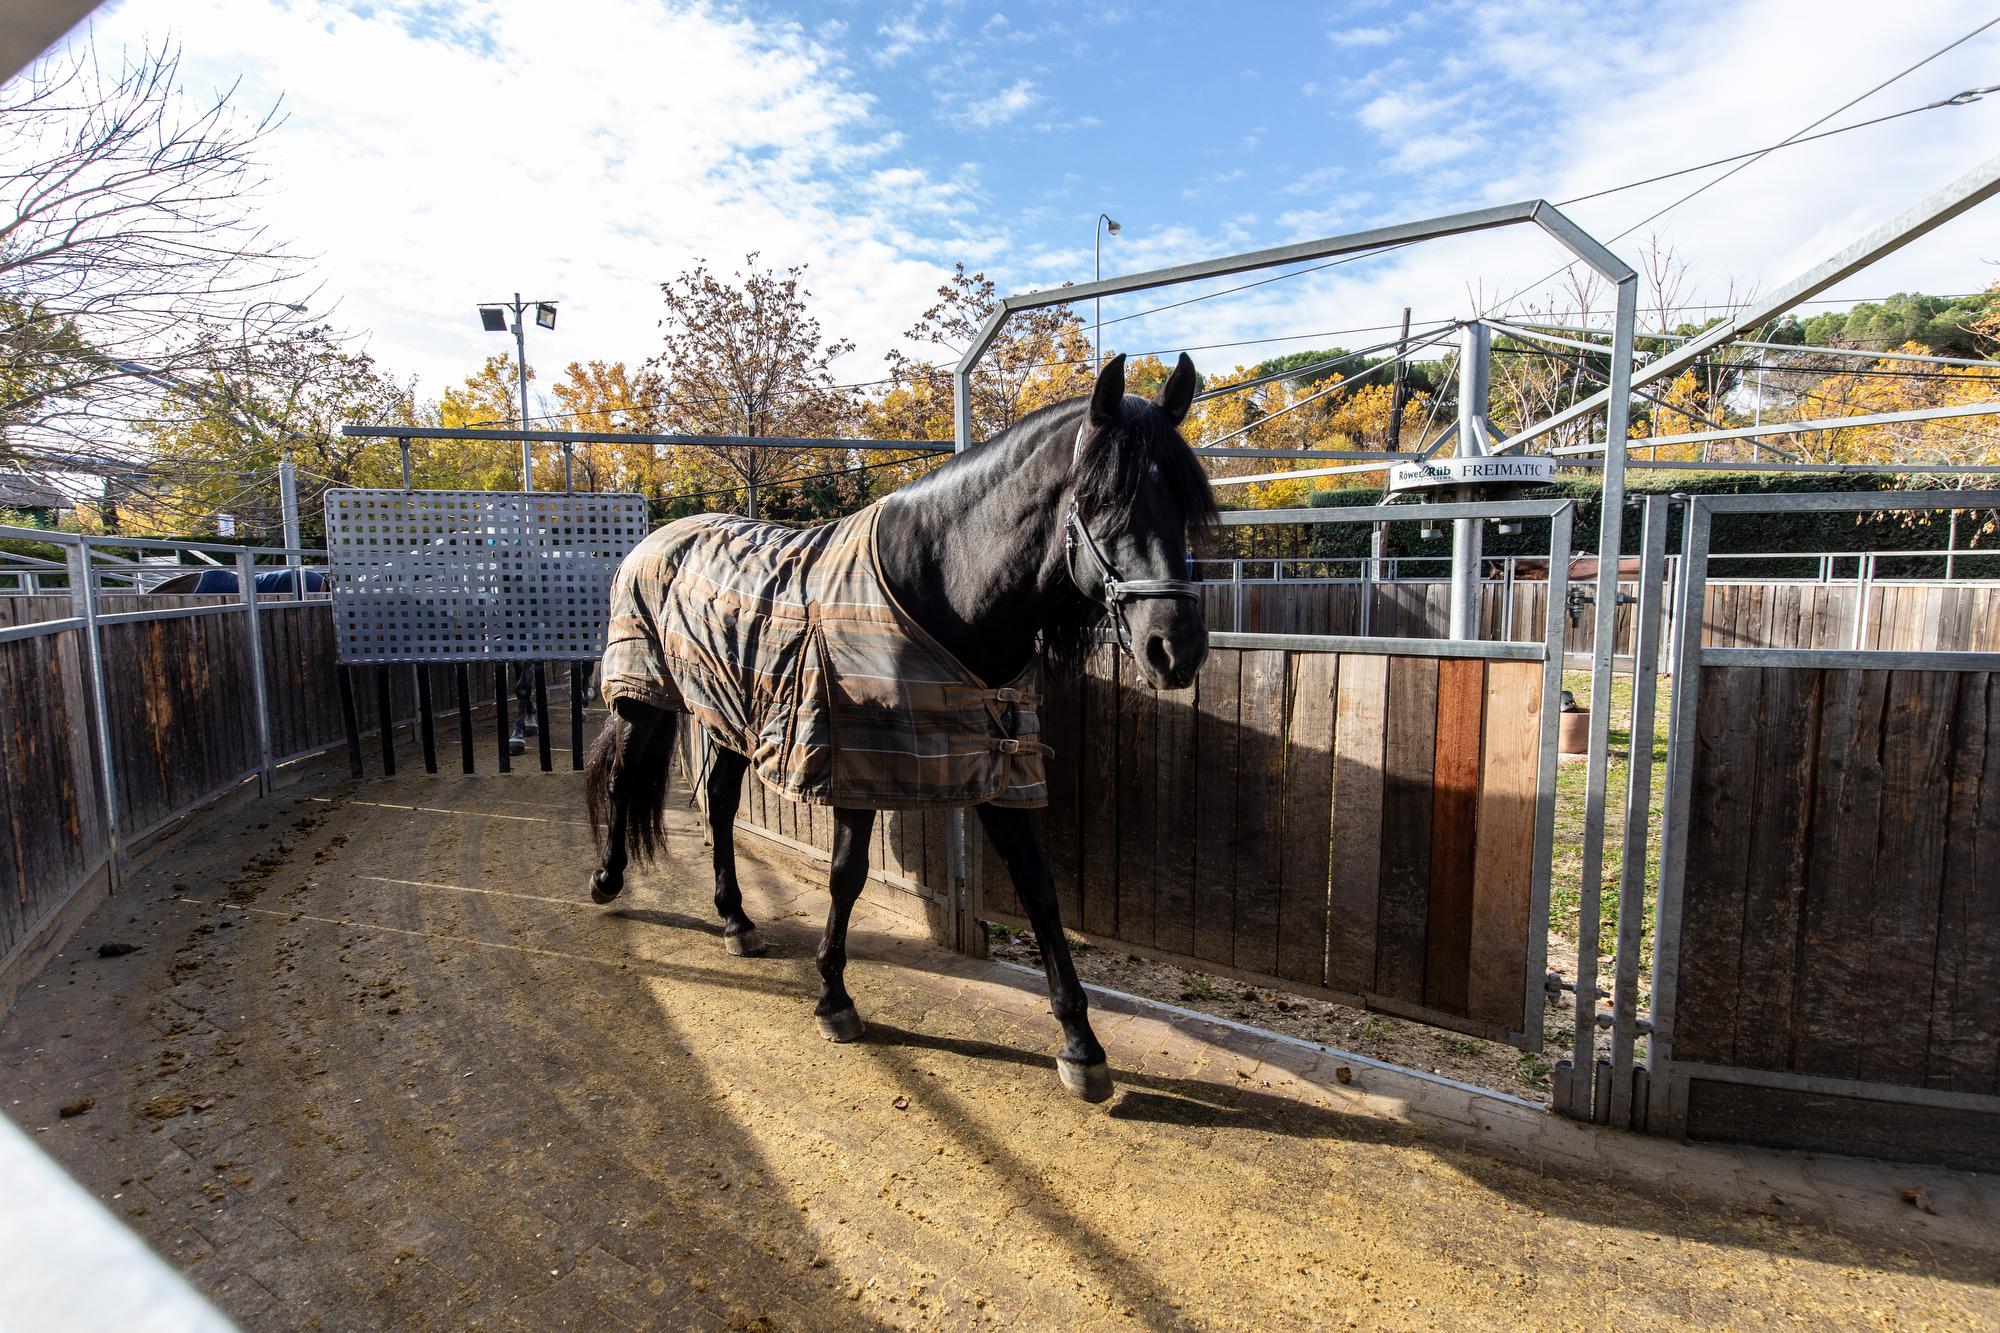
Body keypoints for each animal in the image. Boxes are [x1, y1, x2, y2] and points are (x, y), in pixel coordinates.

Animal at [584, 348, 1208, 1096]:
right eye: (1106, 500)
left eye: (1185, 504)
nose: (1176, 649)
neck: (943, 590)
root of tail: (656, 538)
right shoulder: (854, 759)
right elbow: (846, 875)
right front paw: (833, 996)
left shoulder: (995, 759)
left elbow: (1039, 890)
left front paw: (1081, 1044)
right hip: (642, 698)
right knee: (623, 782)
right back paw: (608, 881)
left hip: (728, 710)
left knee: (722, 805)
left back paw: (735, 918)